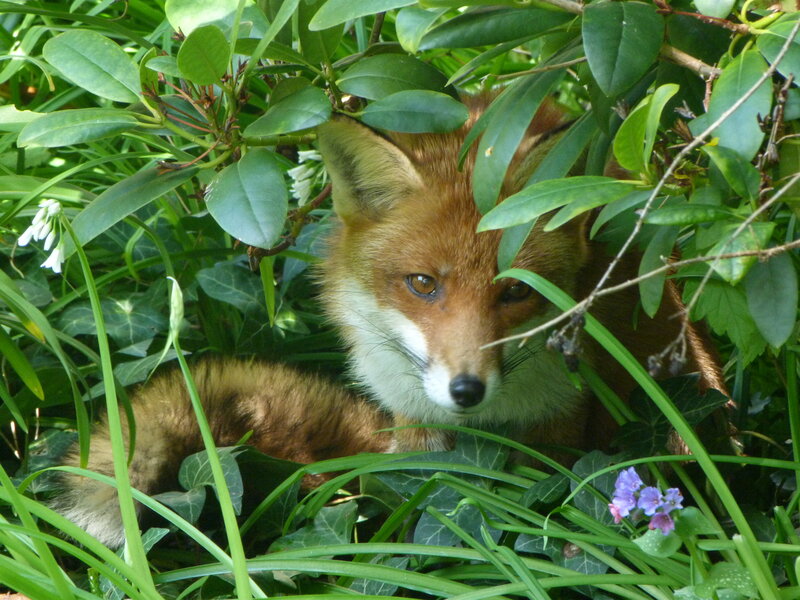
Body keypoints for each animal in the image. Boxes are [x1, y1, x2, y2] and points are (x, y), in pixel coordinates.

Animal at [54, 98, 724, 548]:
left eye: (515, 291)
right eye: (423, 284)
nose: (466, 389)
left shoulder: (558, 423)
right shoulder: (415, 425)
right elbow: (428, 508)